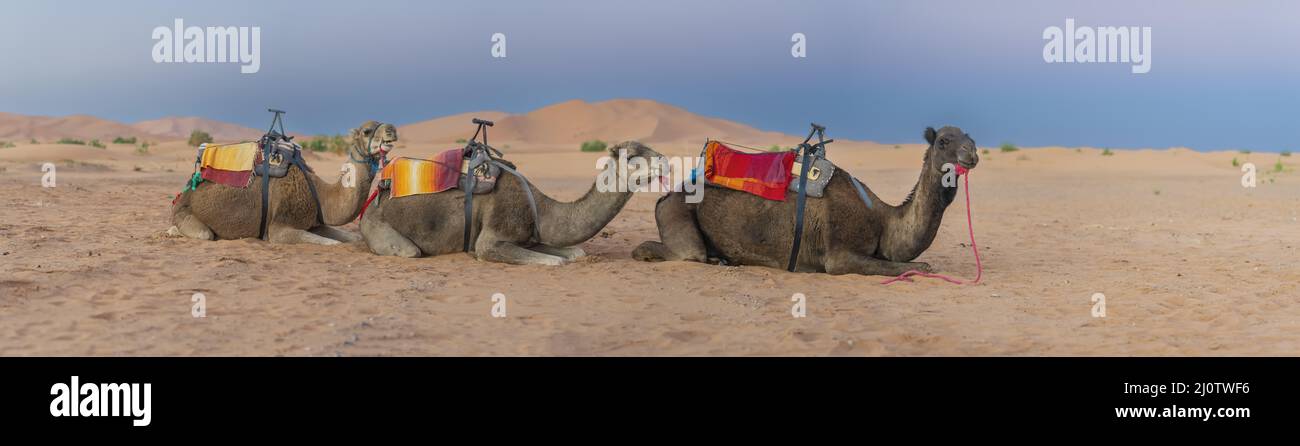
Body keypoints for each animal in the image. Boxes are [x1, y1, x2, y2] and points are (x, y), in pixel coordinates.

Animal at [170, 121, 397, 244]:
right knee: (203, 234)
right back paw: (173, 231)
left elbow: (351, 239)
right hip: (186, 215)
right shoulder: (279, 227)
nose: (392, 130)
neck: (320, 193)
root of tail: (184, 193)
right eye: (367, 131)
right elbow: (332, 244)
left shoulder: (315, 223)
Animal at [361, 141, 665, 265]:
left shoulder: (531, 236)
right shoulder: (491, 240)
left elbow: (575, 253)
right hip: (385, 231)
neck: (541, 208)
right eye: (631, 156)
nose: (664, 159)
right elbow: (555, 262)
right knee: (409, 251)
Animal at [634, 126, 977, 275]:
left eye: (971, 138)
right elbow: (920, 266)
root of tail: (666, 196)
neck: (883, 219)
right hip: (677, 212)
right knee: (681, 253)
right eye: (944, 140)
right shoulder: (839, 256)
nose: (971, 154)